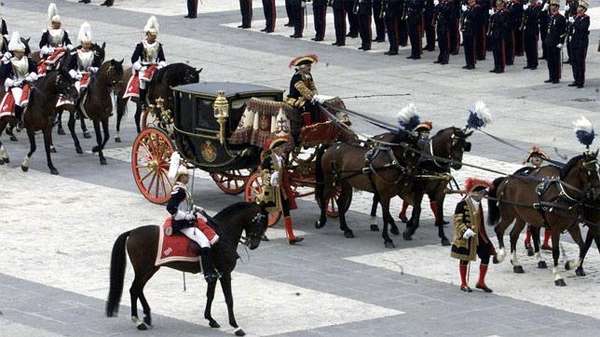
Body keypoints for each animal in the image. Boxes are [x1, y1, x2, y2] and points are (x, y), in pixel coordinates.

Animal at [106, 201, 268, 334]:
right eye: (261, 222)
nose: (254, 244)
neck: (222, 233)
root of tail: (132, 232)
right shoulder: (225, 273)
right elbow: (229, 299)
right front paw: (236, 326)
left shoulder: (214, 274)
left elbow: (210, 295)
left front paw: (210, 319)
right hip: (144, 269)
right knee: (134, 290)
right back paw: (139, 321)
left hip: (150, 269)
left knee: (138, 289)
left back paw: (147, 317)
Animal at [488, 152, 600, 286]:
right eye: (588, 171)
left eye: (597, 169)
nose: (596, 193)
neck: (563, 195)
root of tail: (506, 179)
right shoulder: (556, 229)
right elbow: (556, 251)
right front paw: (558, 276)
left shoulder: (573, 226)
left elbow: (583, 247)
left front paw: (570, 264)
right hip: (508, 214)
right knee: (499, 230)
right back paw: (500, 256)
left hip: (522, 217)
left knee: (514, 235)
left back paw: (516, 264)